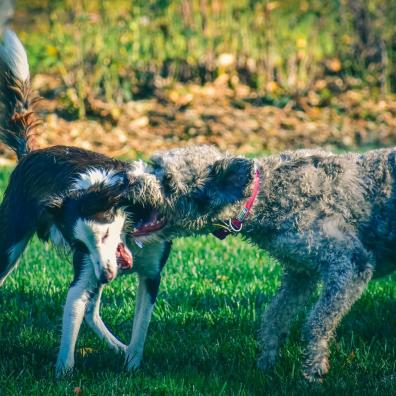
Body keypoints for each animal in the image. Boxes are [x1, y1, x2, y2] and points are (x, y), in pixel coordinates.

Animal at [0, 29, 135, 376]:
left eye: (105, 234)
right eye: (81, 244)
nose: (107, 277)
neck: (89, 188)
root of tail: (29, 154)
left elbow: (83, 310)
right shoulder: (86, 266)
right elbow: (73, 309)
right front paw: (63, 372)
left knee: (92, 311)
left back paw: (119, 347)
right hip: (10, 245)